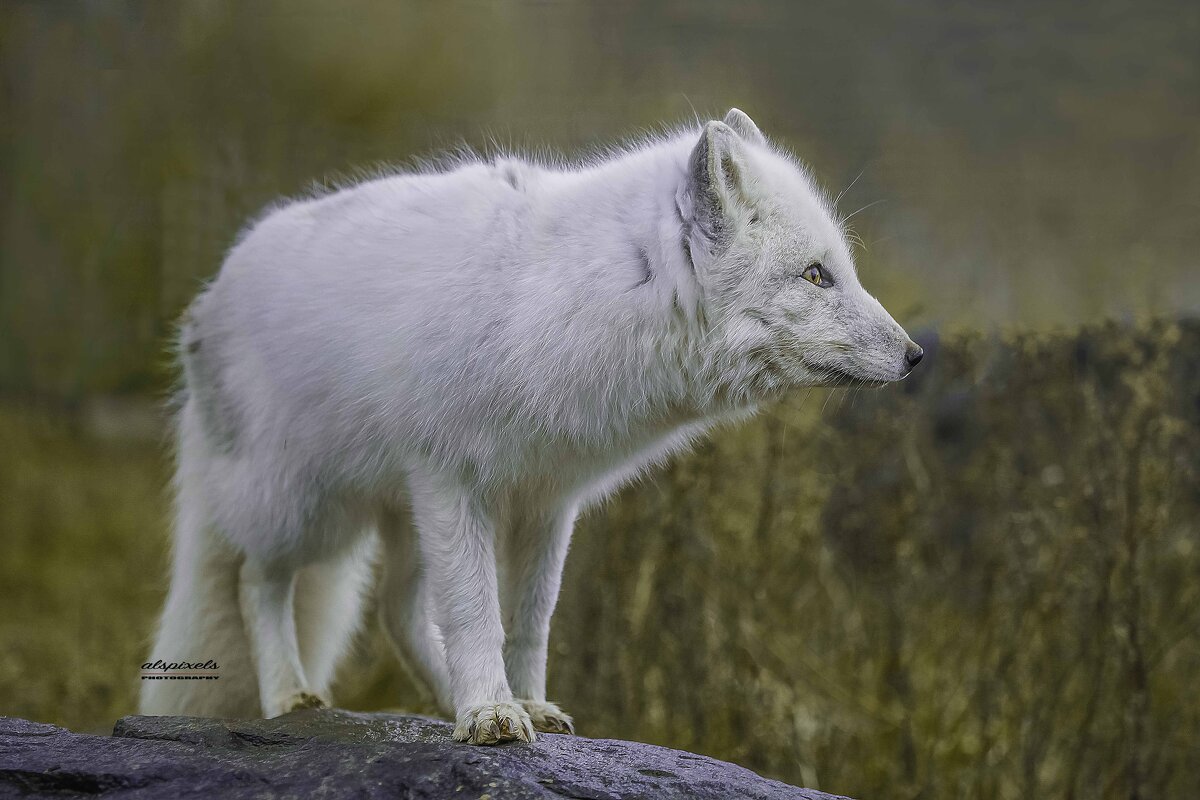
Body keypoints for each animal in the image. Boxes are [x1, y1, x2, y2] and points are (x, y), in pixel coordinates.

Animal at [142, 107, 926, 743]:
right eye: (816, 275)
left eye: (842, 269)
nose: (916, 356)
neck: (576, 296)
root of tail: (206, 298)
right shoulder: (451, 479)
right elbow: (476, 613)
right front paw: (491, 715)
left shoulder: (547, 500)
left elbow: (528, 620)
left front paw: (523, 704)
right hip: (310, 512)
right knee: (256, 580)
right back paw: (291, 696)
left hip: (396, 517)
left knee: (396, 610)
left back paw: (442, 695)